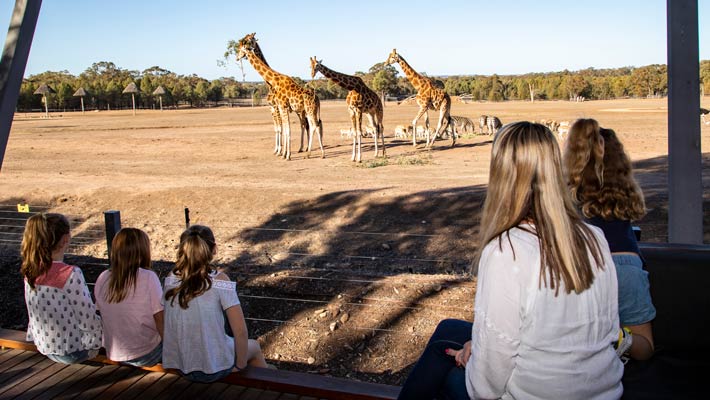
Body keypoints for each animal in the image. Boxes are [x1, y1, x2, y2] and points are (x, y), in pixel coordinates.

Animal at [235, 33, 324, 161]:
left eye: (242, 47)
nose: (237, 57)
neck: (272, 81)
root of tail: (317, 98)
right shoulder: (279, 108)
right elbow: (282, 129)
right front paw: (282, 153)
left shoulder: (279, 107)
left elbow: (285, 130)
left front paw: (285, 154)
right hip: (308, 111)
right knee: (312, 125)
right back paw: (308, 151)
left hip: (309, 110)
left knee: (313, 126)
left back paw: (316, 153)